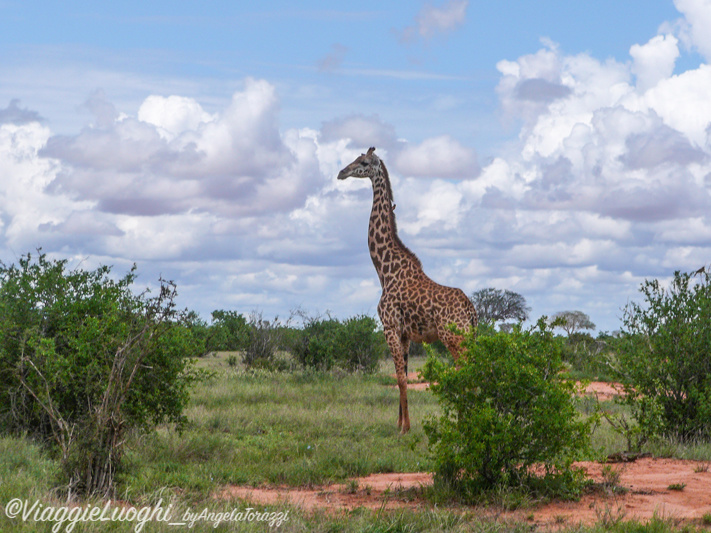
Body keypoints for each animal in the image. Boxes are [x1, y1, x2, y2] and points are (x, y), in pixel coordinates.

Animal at [338, 145, 478, 432]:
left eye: (363, 162)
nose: (341, 172)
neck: (385, 271)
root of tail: (471, 311)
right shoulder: (404, 335)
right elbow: (400, 376)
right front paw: (400, 423)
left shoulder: (389, 327)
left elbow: (401, 379)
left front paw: (405, 428)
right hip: (466, 337)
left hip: (454, 338)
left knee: (467, 374)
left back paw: (465, 424)